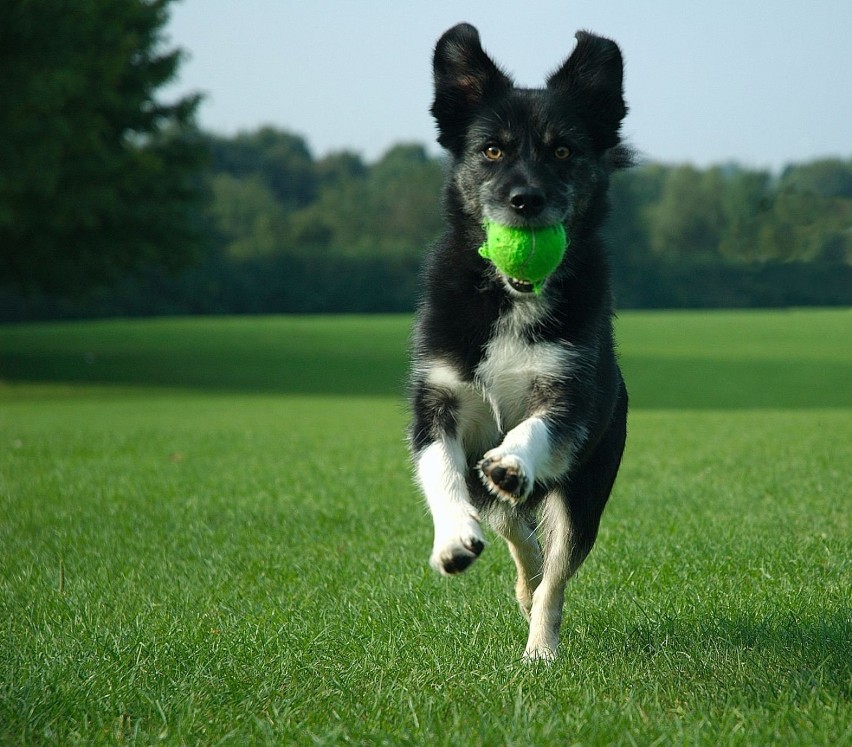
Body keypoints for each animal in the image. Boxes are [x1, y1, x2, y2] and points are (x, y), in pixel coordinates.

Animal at [410, 21, 628, 660]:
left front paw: (511, 461)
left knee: (554, 570)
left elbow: (536, 429)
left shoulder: (569, 394)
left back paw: (541, 646)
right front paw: (453, 539)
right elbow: (440, 468)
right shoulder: (437, 397)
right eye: (492, 150)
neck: (511, 297)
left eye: (562, 150)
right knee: (516, 532)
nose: (525, 200)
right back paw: (519, 580)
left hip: (585, 493)